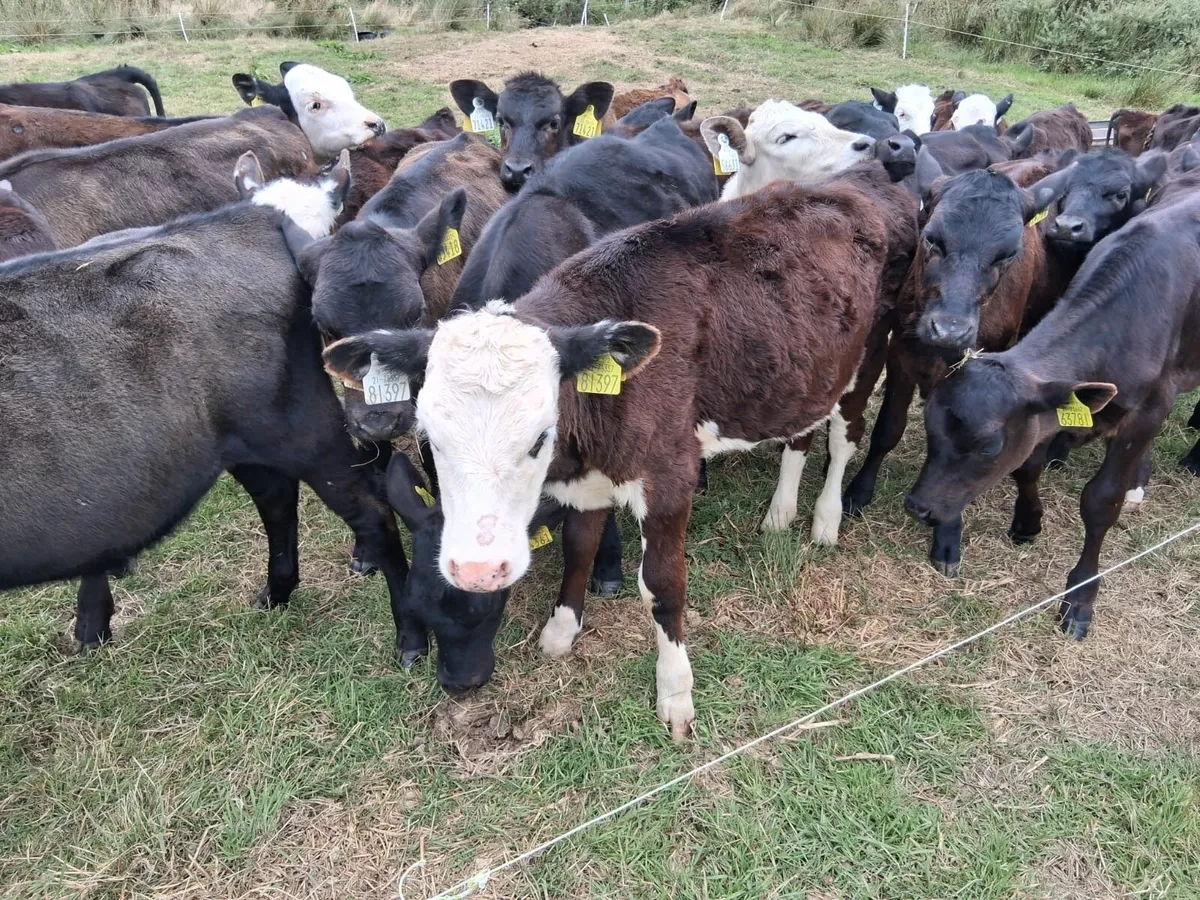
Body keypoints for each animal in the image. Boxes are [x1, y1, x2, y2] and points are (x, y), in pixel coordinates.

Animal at [0, 186, 413, 659]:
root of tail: (252, 216)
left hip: (307, 434)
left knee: (371, 509)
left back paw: (410, 637)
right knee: (277, 499)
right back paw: (272, 593)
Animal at [322, 178, 890, 736]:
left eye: (539, 438)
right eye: (433, 439)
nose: (477, 568)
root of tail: (854, 186)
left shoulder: (670, 475)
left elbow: (662, 584)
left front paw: (675, 693)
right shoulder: (586, 478)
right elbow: (580, 544)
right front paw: (560, 628)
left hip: (869, 357)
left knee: (844, 437)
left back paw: (825, 519)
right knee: (802, 433)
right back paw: (780, 513)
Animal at [842, 163, 1094, 575]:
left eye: (1008, 254)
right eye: (931, 238)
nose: (949, 329)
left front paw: (947, 534)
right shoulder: (901, 354)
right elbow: (887, 430)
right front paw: (857, 492)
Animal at [905, 171, 1200, 640]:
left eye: (988, 447)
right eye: (929, 427)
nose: (919, 507)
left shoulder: (1149, 409)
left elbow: (1101, 501)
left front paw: (1079, 597)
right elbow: (1028, 466)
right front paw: (1028, 521)